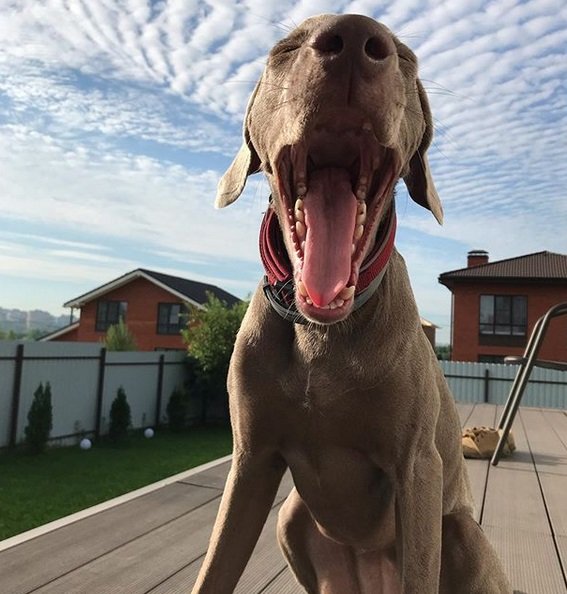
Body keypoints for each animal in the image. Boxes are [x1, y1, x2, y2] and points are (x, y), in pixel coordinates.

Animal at [192, 13, 516, 592]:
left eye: (405, 58)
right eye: (285, 49)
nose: (354, 38)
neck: (320, 333)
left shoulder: (417, 466)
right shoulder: (251, 460)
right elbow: (213, 571)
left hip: (461, 535)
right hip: (290, 518)